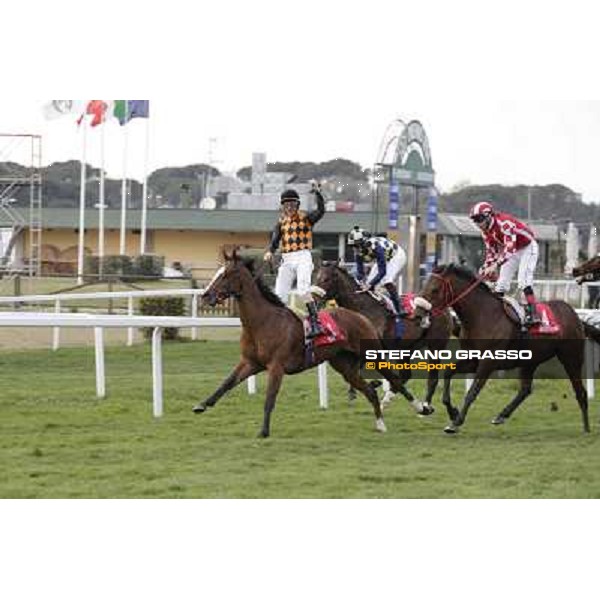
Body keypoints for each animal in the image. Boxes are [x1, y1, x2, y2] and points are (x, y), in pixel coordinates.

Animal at [192, 246, 432, 438]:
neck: (263, 322)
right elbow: (226, 383)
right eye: (218, 272)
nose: (205, 295)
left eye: (227, 274)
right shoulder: (250, 363)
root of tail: (360, 316)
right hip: (345, 365)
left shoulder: (276, 367)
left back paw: (422, 408)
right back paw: (380, 423)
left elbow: (270, 398)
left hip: (373, 353)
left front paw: (264, 431)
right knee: (369, 390)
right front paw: (202, 405)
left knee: (396, 380)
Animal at [316, 264, 452, 412]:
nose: (314, 298)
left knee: (431, 378)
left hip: (435, 344)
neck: (363, 309)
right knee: (405, 375)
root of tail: (445, 308)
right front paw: (363, 388)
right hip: (406, 348)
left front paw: (368, 386)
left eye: (326, 279)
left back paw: (423, 406)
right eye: (316, 277)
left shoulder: (372, 348)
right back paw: (386, 400)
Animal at [420, 264, 588, 434]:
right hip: (530, 361)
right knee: (525, 389)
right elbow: (448, 372)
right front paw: (452, 411)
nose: (419, 311)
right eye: (424, 286)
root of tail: (573, 313)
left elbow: (472, 391)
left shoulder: (488, 362)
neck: (481, 315)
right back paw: (501, 415)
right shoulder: (473, 359)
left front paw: (456, 422)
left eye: (434, 289)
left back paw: (586, 427)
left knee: (580, 391)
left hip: (571, 358)